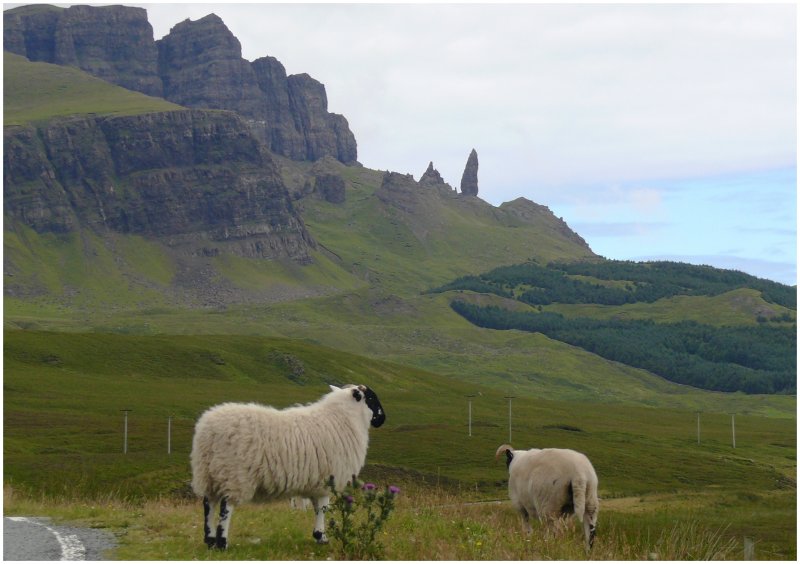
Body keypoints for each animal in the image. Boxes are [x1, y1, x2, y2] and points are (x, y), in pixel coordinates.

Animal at [190, 384, 386, 550]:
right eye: (371, 398)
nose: (383, 419)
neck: (344, 418)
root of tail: (208, 431)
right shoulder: (327, 479)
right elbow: (323, 509)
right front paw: (321, 537)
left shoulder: (315, 482)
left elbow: (316, 508)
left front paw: (318, 536)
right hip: (233, 474)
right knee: (226, 506)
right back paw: (222, 543)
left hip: (208, 472)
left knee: (208, 504)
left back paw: (209, 540)